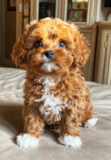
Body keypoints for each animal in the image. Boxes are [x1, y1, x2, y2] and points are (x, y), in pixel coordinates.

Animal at [11, 17, 98, 148]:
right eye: (38, 43)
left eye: (62, 44)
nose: (49, 52)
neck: (50, 76)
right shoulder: (32, 101)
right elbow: (32, 119)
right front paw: (29, 137)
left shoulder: (74, 100)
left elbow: (71, 119)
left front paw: (70, 137)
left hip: (87, 102)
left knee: (88, 112)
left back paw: (89, 121)